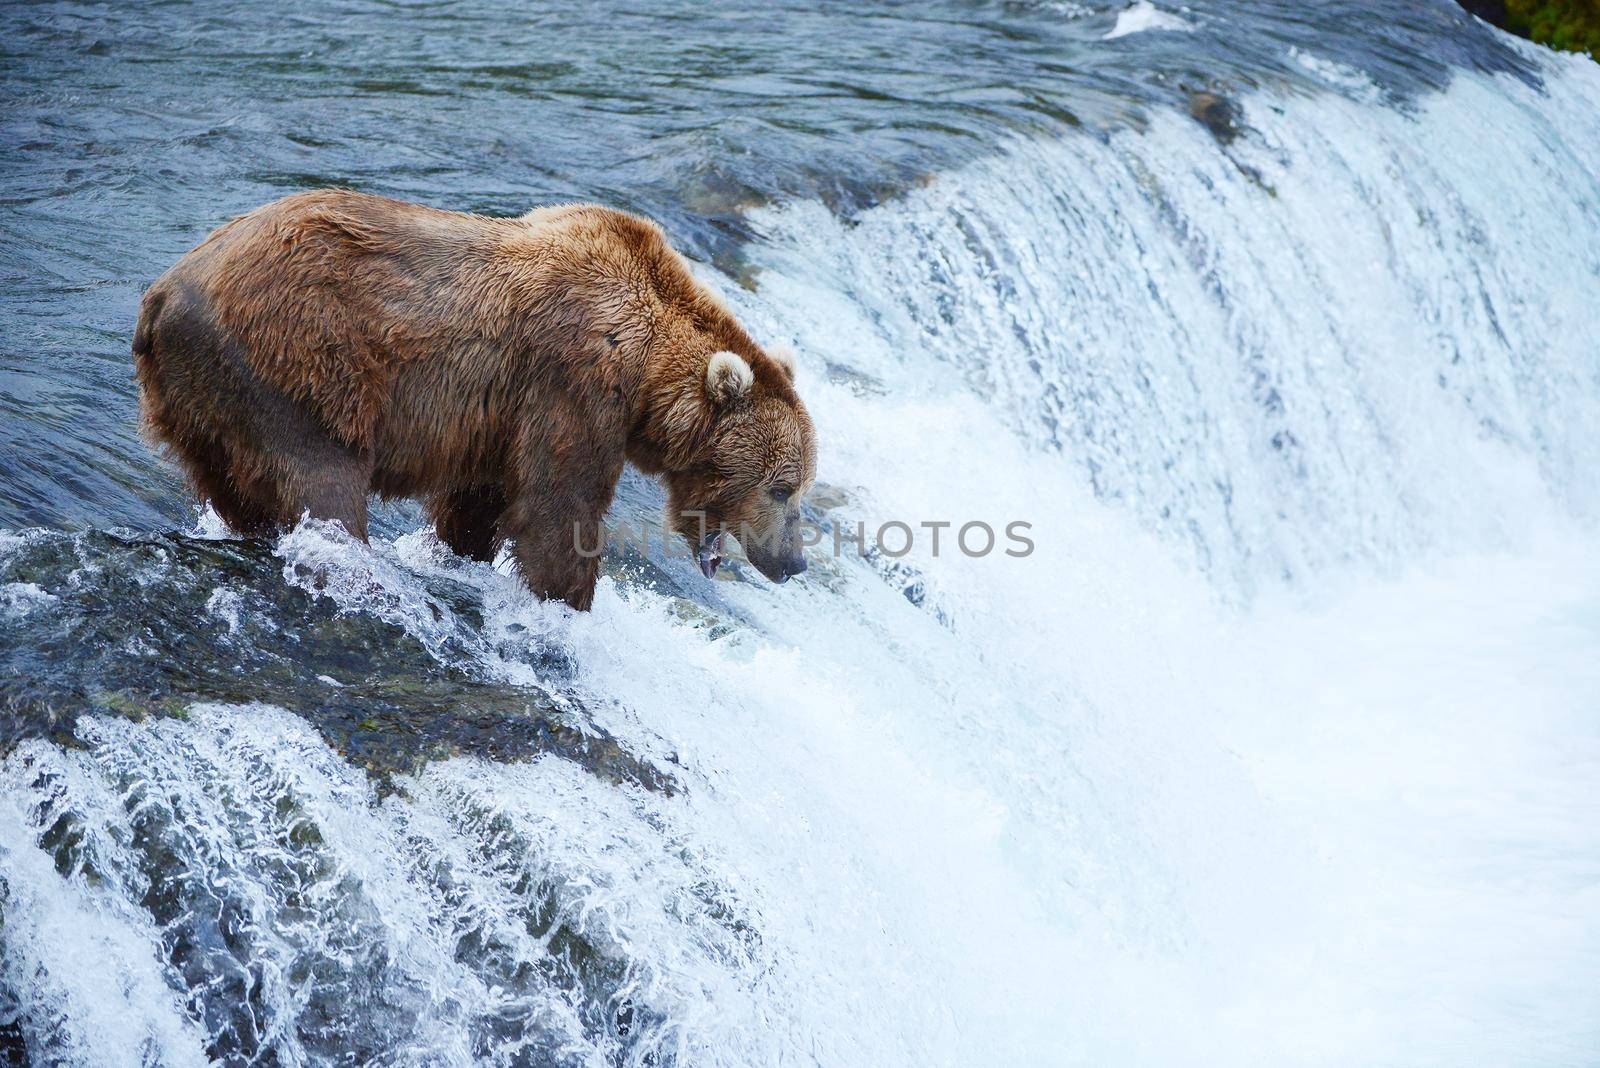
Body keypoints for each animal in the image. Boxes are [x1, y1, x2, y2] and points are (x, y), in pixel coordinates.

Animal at [131, 191, 819, 607]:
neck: (647, 370)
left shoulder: (501, 416)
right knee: (320, 480)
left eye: (800, 485)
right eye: (782, 487)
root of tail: (162, 295)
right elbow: (557, 507)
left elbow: (479, 502)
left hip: (198, 400)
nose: (794, 563)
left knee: (231, 485)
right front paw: (566, 598)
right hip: (294, 364)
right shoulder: (573, 382)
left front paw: (465, 553)